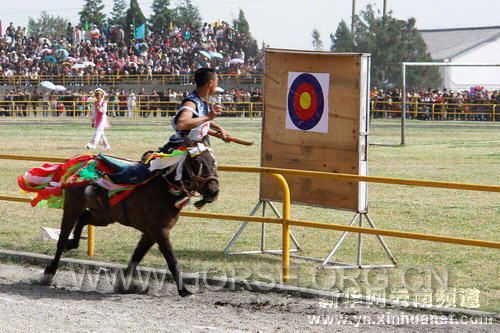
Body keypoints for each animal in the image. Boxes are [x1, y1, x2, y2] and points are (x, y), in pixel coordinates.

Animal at [43, 144, 221, 296]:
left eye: (214, 162)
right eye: (198, 162)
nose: (213, 191)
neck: (164, 189)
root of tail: (83, 160)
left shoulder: (151, 233)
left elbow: (136, 257)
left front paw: (125, 285)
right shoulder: (160, 231)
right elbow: (172, 260)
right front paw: (184, 290)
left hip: (105, 215)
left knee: (83, 218)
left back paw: (72, 243)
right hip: (73, 206)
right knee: (63, 236)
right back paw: (50, 271)